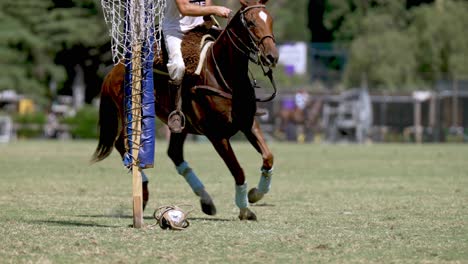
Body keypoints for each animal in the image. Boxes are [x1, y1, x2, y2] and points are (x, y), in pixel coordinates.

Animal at [93, 0, 280, 220]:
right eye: (250, 23)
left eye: (270, 20)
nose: (272, 56)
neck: (226, 75)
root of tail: (114, 70)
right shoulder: (216, 134)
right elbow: (238, 170)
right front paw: (245, 209)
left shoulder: (248, 123)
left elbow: (268, 157)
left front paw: (255, 194)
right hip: (131, 114)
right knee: (122, 144)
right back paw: (144, 191)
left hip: (180, 126)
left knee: (174, 153)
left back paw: (206, 200)